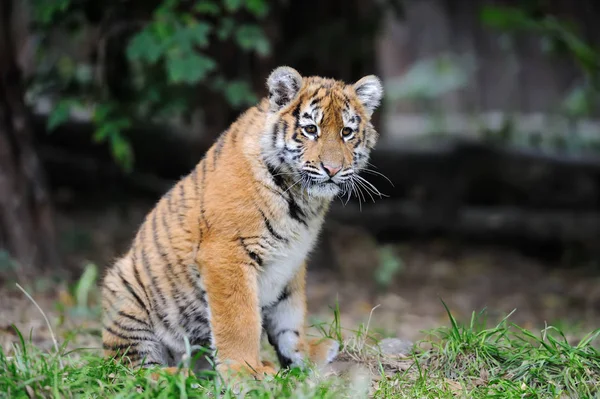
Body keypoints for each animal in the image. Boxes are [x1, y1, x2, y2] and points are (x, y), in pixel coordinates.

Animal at [101, 66, 384, 382]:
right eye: (311, 129)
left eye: (347, 132)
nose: (332, 170)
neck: (303, 202)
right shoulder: (227, 254)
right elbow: (240, 320)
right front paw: (244, 371)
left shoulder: (292, 260)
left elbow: (291, 312)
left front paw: (304, 353)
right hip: (123, 290)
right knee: (128, 370)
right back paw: (180, 375)